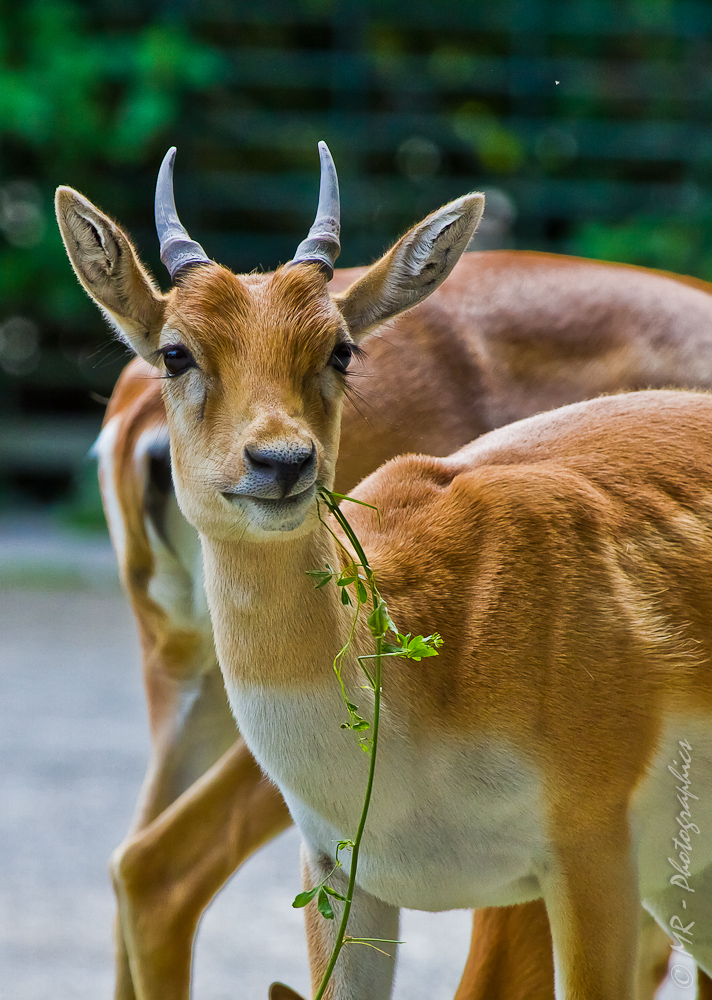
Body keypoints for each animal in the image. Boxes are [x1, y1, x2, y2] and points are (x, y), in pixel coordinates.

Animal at [55, 148, 712, 1000]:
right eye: (177, 350)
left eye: (339, 348)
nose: (281, 461)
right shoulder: (341, 872)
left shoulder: (589, 854)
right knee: (147, 866)